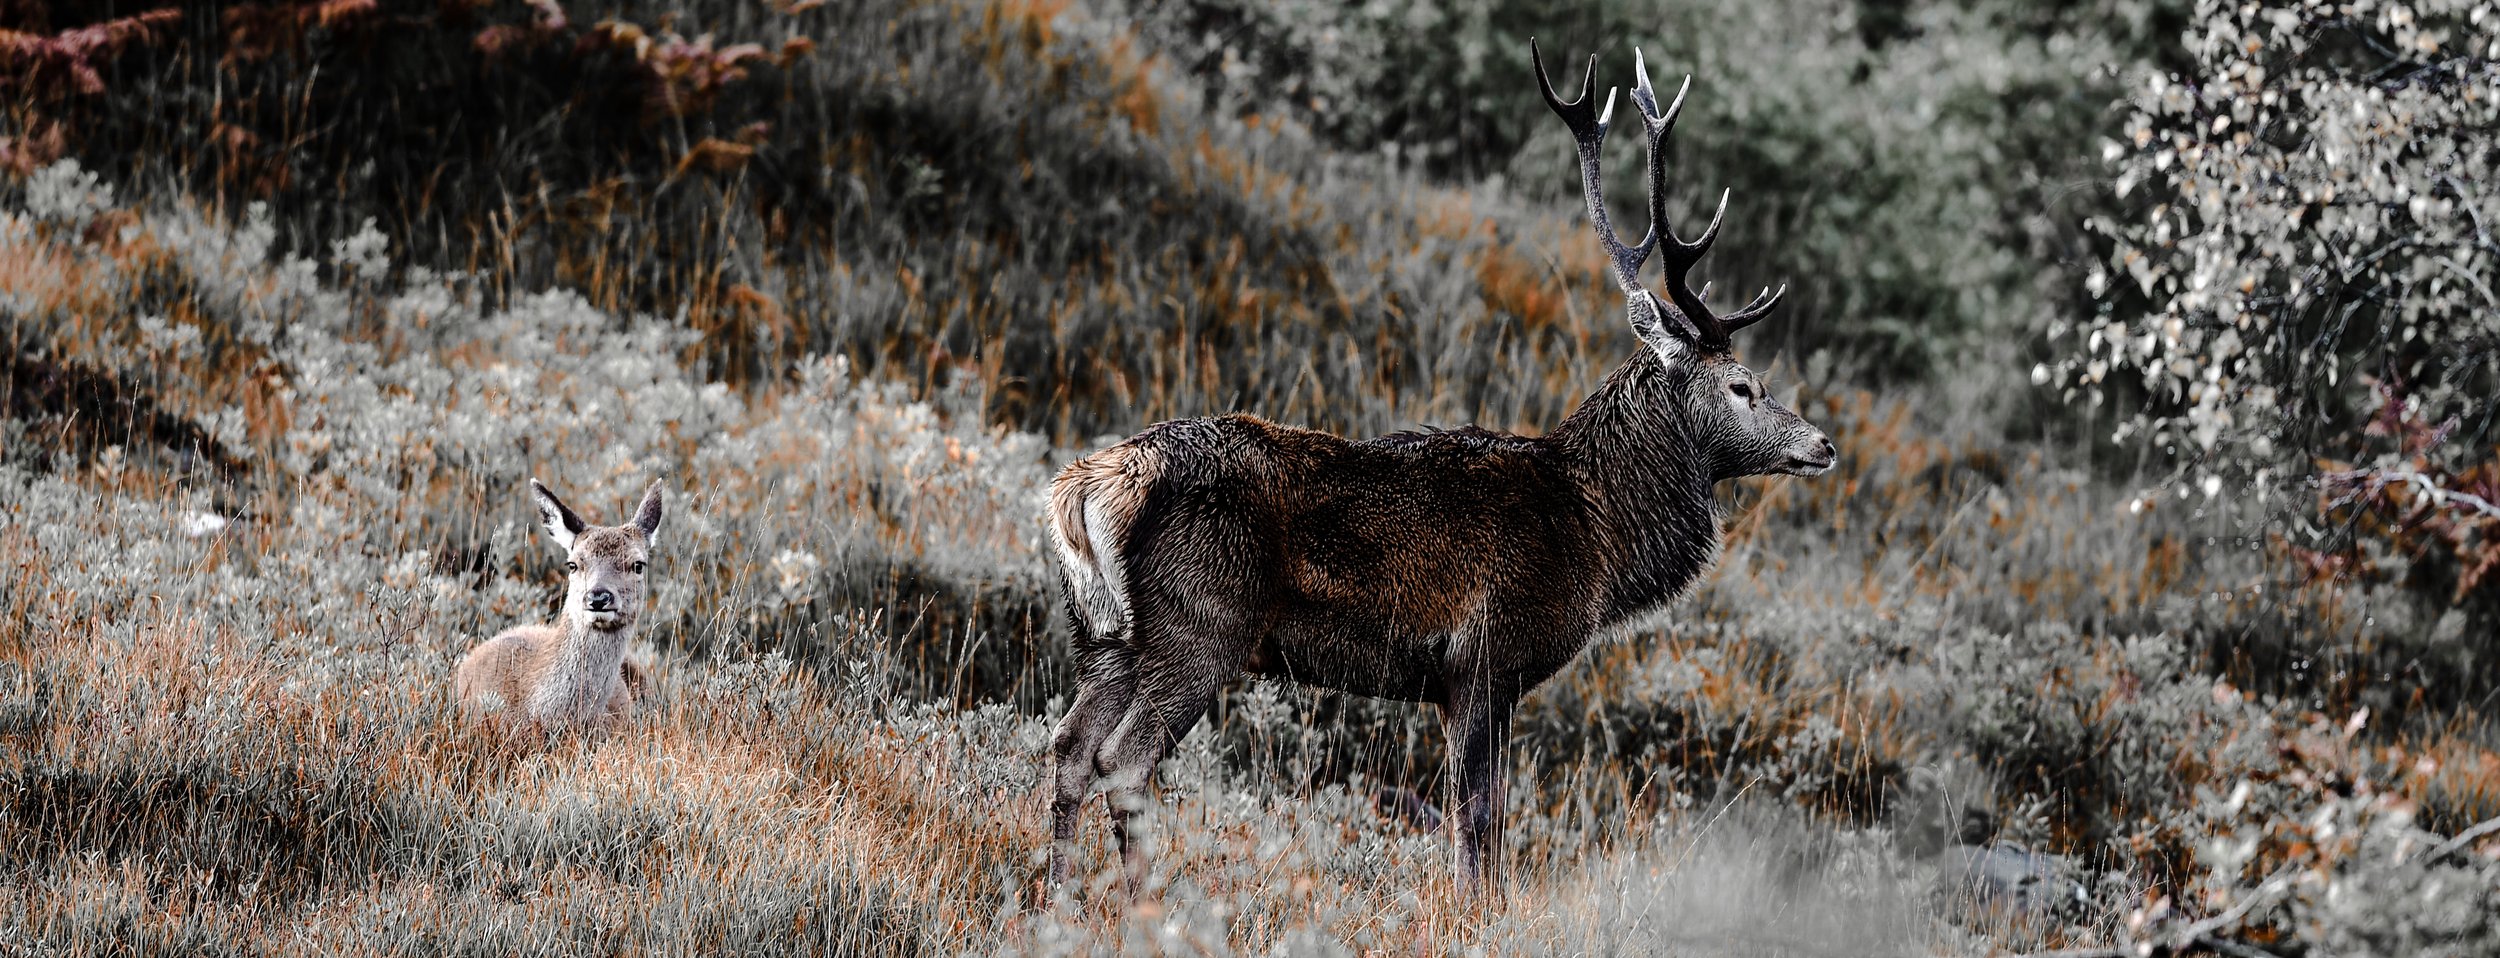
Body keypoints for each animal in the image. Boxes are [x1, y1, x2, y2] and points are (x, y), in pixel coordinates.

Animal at [1035, 43, 1840, 900]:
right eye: (1744, 386)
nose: (1822, 444)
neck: (1597, 536)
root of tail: (1084, 487)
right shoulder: (1485, 660)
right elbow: (1478, 817)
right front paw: (1477, 909)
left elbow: (1471, 816)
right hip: (1200, 623)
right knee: (1122, 762)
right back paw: (1146, 901)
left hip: (1104, 636)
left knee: (1068, 748)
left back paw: (1058, 897)